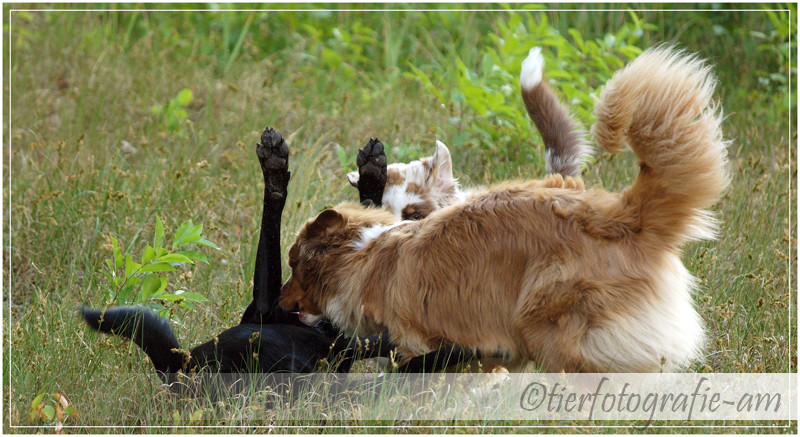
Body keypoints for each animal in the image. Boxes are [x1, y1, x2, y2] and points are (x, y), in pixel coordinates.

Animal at [278, 46, 728, 370]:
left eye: (293, 266)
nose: (279, 306)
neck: (368, 250)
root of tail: (622, 215)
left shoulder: (421, 337)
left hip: (553, 320)